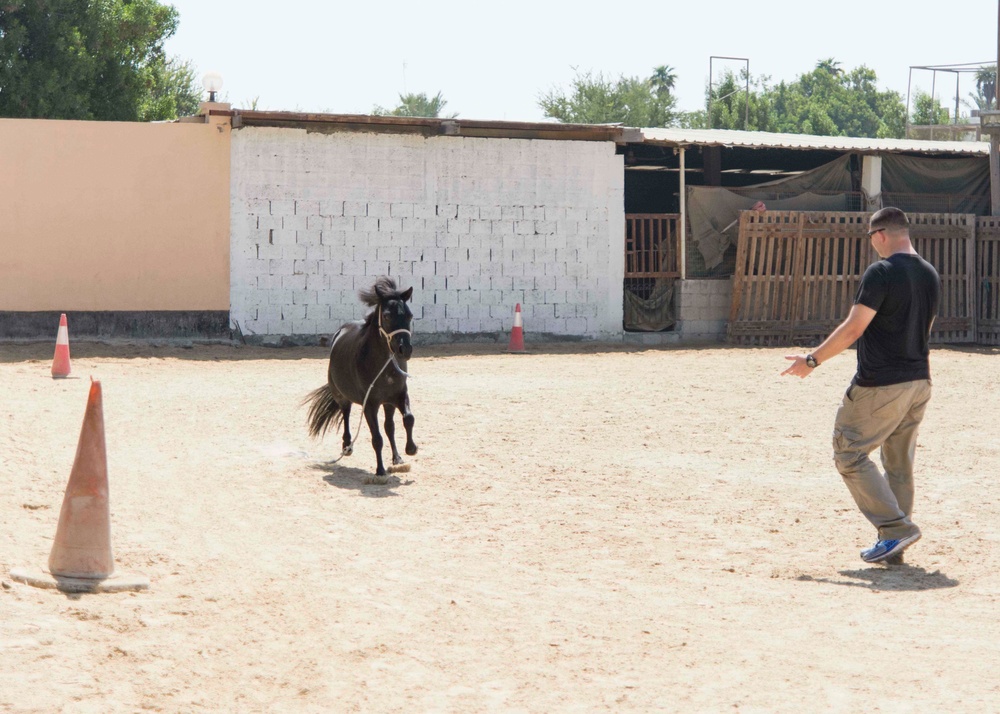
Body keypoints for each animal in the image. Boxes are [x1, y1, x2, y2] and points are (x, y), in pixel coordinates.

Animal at [302, 276, 416, 476]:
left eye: (409, 316)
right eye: (387, 316)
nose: (405, 350)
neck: (383, 366)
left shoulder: (399, 395)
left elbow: (408, 419)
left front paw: (409, 450)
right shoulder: (369, 404)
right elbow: (377, 438)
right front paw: (380, 470)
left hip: (387, 403)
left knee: (389, 427)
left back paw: (396, 458)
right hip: (341, 396)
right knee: (346, 414)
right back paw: (347, 446)